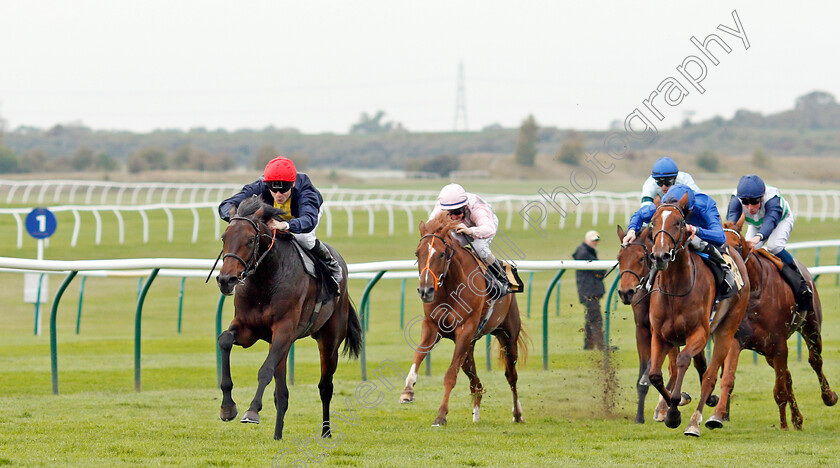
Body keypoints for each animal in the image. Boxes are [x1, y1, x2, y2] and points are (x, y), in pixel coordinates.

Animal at [213, 197, 360, 438]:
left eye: (250, 240)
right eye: (224, 238)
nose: (226, 280)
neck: (265, 280)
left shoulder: (284, 329)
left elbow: (264, 371)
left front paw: (252, 411)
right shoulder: (247, 328)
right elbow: (225, 340)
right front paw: (227, 407)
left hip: (329, 340)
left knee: (325, 387)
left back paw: (326, 431)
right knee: (282, 394)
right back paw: (277, 434)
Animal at [398, 214, 524, 426]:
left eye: (441, 254)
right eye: (417, 253)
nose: (425, 290)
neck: (451, 287)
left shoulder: (465, 329)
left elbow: (450, 375)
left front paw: (441, 415)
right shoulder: (432, 326)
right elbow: (418, 354)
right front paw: (408, 391)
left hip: (508, 335)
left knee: (511, 376)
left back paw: (517, 413)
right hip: (469, 345)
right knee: (475, 382)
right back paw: (476, 414)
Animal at [612, 224, 720, 424]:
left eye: (641, 258)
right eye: (619, 258)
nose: (625, 292)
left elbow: (669, 368)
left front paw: (669, 405)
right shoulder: (644, 330)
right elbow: (647, 373)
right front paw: (640, 416)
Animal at [648, 193, 752, 436]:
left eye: (678, 222)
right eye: (653, 223)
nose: (660, 256)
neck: (675, 290)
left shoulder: (699, 334)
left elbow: (683, 362)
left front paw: (674, 412)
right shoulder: (660, 335)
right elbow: (655, 375)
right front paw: (672, 405)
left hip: (726, 331)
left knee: (710, 377)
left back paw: (695, 422)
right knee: (701, 368)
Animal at [720, 215, 836, 428]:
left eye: (737, 245)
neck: (755, 292)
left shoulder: (779, 343)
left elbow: (780, 390)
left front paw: (783, 426)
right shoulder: (737, 339)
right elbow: (728, 378)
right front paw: (718, 416)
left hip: (811, 326)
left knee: (815, 360)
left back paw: (828, 397)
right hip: (766, 350)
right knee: (788, 376)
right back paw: (797, 418)